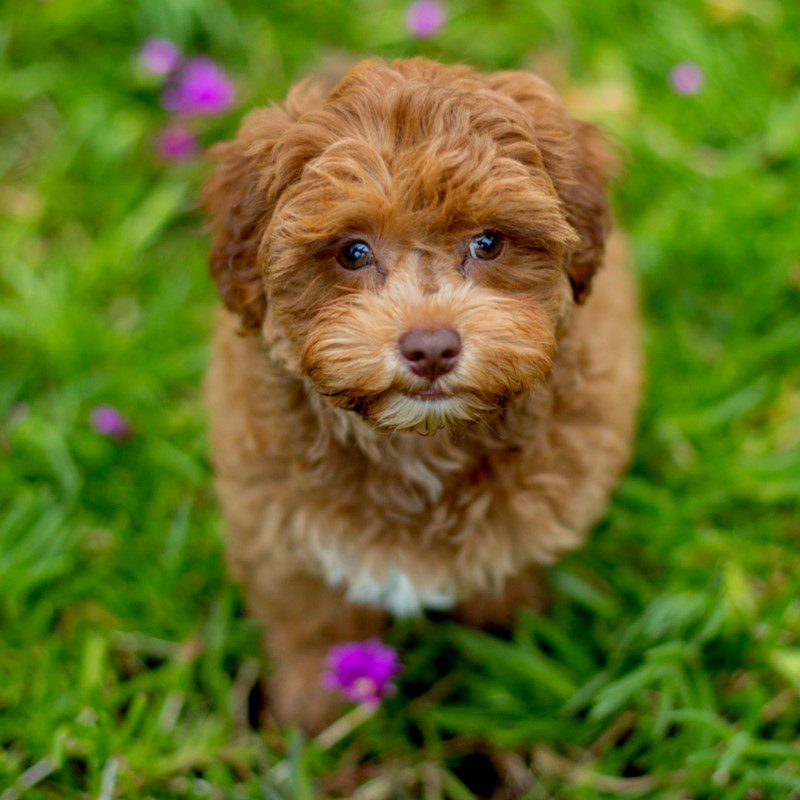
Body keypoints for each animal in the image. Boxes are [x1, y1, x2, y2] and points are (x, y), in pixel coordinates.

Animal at [202, 56, 644, 732]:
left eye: (488, 243)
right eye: (353, 251)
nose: (431, 348)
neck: (418, 444)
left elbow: (506, 586)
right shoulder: (281, 524)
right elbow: (313, 621)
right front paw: (311, 710)